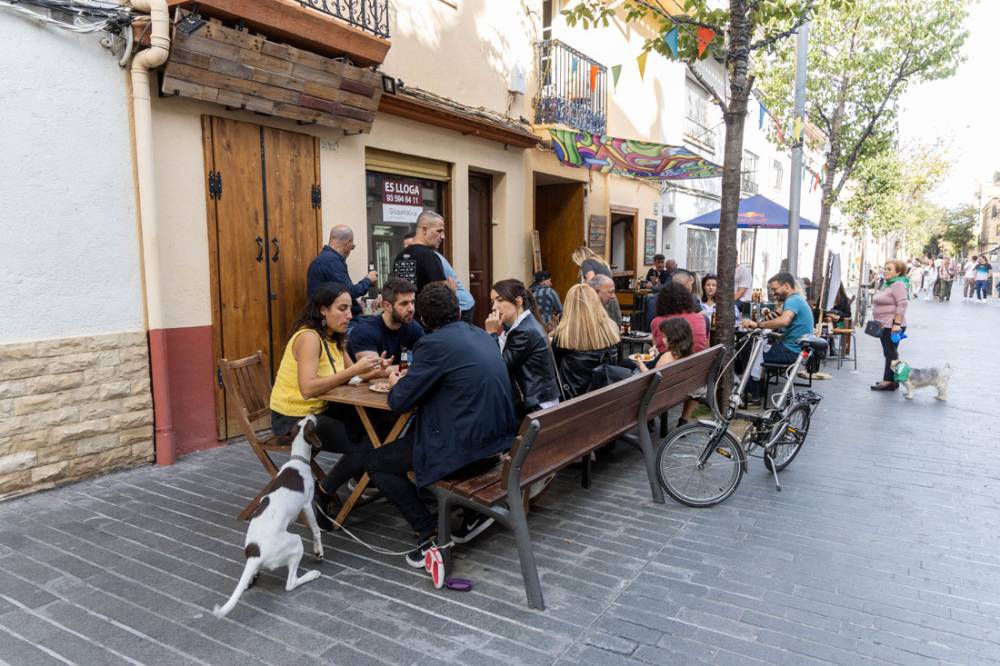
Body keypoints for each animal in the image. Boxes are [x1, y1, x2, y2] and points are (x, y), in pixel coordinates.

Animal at [214, 416, 324, 616]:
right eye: (309, 422)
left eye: (302, 420)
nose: (312, 415)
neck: (298, 459)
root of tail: (255, 553)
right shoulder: (307, 506)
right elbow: (316, 530)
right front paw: (319, 550)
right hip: (296, 542)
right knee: (290, 583)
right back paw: (311, 575)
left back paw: (251, 577)